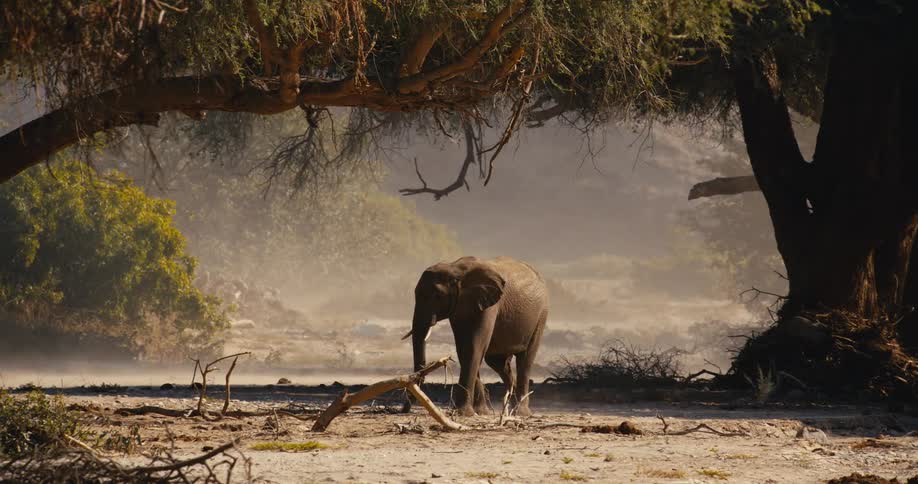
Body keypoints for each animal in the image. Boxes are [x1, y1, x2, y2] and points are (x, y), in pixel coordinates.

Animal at [402, 256, 549, 417]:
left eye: (437, 296)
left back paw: (520, 413)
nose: (404, 409)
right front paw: (481, 412)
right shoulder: (460, 306)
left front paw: (462, 413)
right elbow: (464, 349)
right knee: (498, 362)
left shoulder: (488, 305)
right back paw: (509, 407)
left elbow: (474, 348)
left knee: (526, 359)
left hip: (541, 316)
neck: (454, 268)